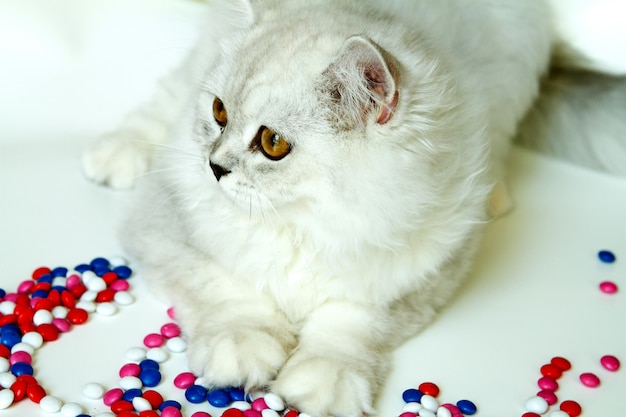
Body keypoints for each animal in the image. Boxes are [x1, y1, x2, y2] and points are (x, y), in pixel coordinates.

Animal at [81, 1, 620, 414]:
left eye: (272, 144)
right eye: (219, 113)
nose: (214, 166)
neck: (304, 223)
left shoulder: (417, 274)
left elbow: (351, 325)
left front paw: (321, 384)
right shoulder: (166, 226)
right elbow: (225, 289)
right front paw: (244, 351)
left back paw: (499, 194)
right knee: (162, 100)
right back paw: (115, 155)